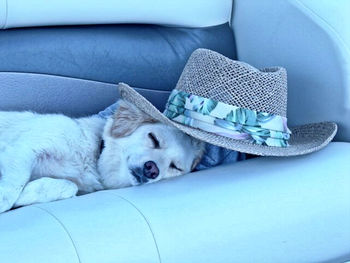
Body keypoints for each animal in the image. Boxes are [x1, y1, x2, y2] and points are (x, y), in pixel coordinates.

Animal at [0, 100, 205, 213]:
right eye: (154, 139)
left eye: (175, 167)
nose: (152, 170)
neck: (92, 156)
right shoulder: (26, 147)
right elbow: (12, 188)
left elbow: (69, 186)